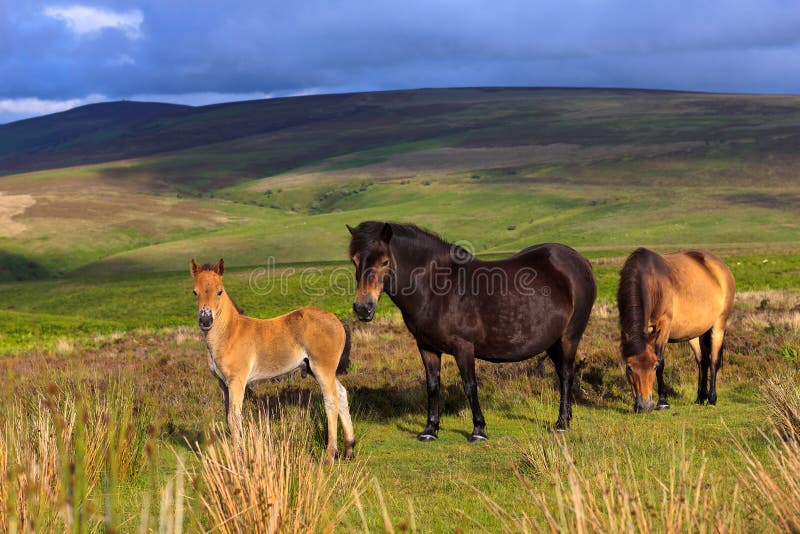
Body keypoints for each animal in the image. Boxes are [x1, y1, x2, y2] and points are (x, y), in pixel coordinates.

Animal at [189, 260, 354, 460]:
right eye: (195, 292)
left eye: (219, 291)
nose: (205, 320)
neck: (230, 333)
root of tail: (338, 321)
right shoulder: (222, 383)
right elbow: (228, 417)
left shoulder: (237, 381)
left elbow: (234, 417)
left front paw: (239, 457)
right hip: (318, 370)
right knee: (342, 394)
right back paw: (349, 449)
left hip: (323, 369)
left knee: (331, 401)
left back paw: (330, 454)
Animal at [346, 222, 596, 440]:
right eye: (355, 261)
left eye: (384, 261)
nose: (363, 307)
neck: (438, 287)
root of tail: (579, 261)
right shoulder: (426, 347)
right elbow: (432, 386)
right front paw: (430, 429)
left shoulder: (463, 346)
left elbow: (469, 385)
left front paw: (478, 430)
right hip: (552, 340)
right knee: (562, 374)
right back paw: (566, 418)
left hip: (569, 336)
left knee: (566, 374)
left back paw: (561, 423)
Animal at [620, 250, 736, 414]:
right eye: (629, 368)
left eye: (653, 367)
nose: (644, 406)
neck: (651, 282)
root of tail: (721, 267)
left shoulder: (664, 326)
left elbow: (661, 360)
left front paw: (663, 401)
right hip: (695, 334)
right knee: (702, 361)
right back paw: (700, 398)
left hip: (718, 325)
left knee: (714, 360)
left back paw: (712, 399)